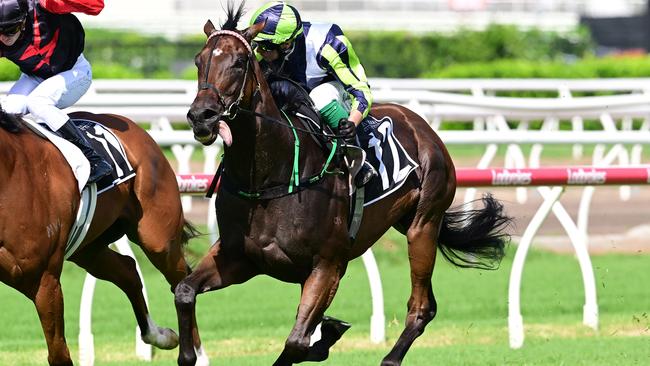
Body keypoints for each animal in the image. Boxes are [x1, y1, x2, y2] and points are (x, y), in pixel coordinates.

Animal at [0, 109, 199, 366]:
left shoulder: (43, 278)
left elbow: (59, 355)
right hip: (87, 247)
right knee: (128, 270)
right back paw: (159, 335)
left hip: (159, 239)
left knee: (181, 281)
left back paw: (193, 354)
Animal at [177, 3, 512, 366]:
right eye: (198, 60)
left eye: (239, 61)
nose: (202, 116)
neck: (269, 178)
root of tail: (422, 126)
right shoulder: (239, 257)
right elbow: (184, 291)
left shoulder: (328, 265)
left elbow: (296, 342)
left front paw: (324, 336)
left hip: (423, 225)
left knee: (421, 306)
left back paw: (388, 357)